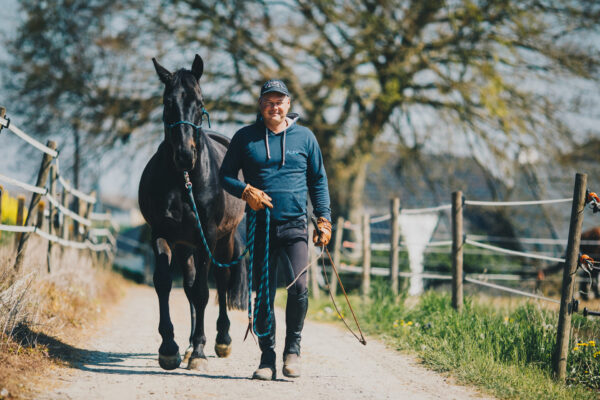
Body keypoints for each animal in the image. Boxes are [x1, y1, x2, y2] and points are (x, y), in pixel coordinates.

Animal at [138, 54, 246, 370]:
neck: (183, 180)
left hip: (223, 240)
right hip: (186, 245)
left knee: (220, 282)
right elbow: (164, 283)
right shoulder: (161, 233)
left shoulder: (207, 236)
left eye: (199, 102)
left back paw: (222, 339)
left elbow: (202, 292)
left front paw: (199, 351)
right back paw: (186, 346)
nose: (185, 155)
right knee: (187, 285)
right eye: (168, 102)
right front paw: (170, 348)